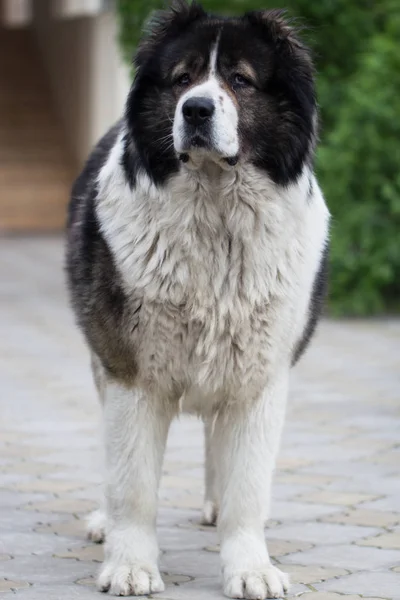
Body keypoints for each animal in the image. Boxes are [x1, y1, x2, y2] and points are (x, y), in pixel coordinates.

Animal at [65, 2, 328, 596]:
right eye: (182, 79)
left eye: (240, 80)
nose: (197, 109)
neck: (216, 218)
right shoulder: (131, 373)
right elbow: (133, 486)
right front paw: (131, 565)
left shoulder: (259, 378)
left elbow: (246, 488)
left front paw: (251, 568)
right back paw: (102, 521)